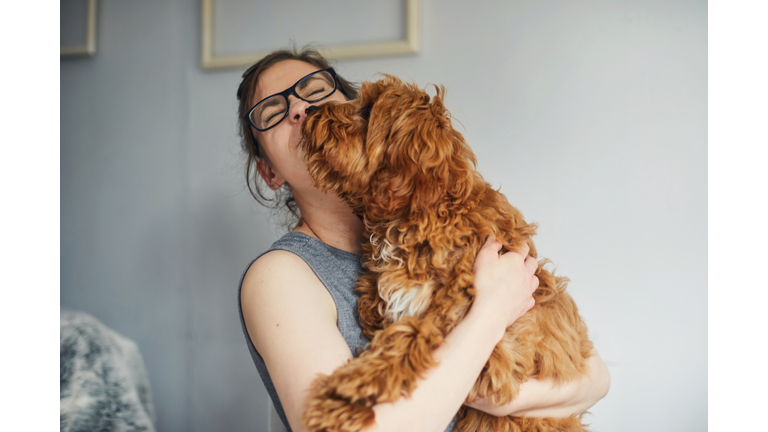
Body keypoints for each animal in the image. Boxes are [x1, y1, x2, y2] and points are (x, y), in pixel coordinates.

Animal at [300, 75, 592, 432]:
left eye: (367, 110)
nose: (309, 110)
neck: (423, 217)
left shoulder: (489, 351)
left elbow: (410, 335)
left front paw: (345, 395)